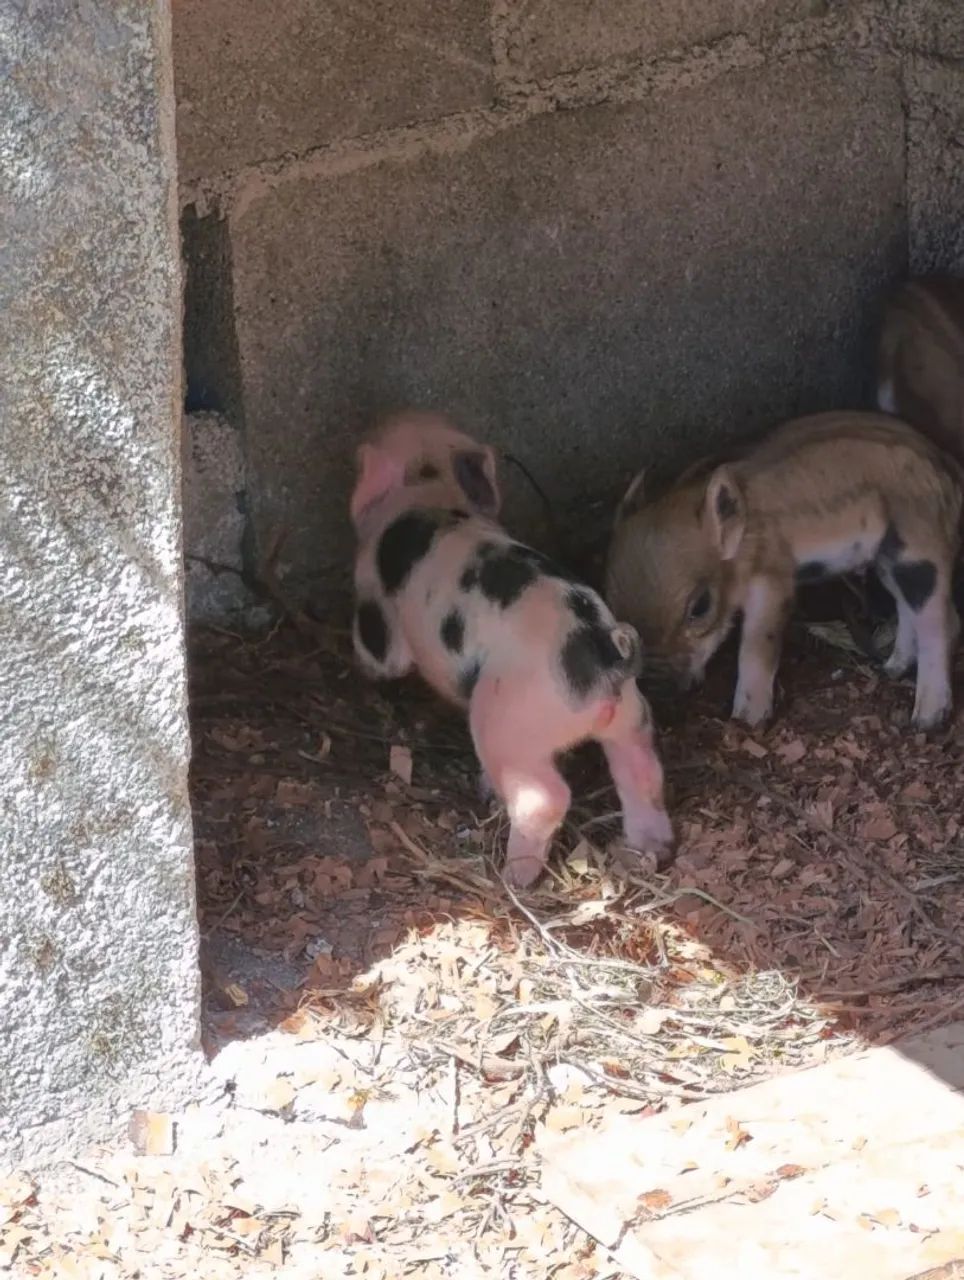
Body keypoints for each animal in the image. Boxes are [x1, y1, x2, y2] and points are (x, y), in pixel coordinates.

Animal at [349, 410, 673, 888]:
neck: (432, 491)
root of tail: (603, 654)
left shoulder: (374, 600)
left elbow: (381, 654)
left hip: (506, 723)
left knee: (545, 797)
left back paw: (514, 876)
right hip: (632, 714)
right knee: (643, 769)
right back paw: (650, 849)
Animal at [605, 411, 963, 731]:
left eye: (701, 606)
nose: (652, 687)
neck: (743, 546)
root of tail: (950, 475)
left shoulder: (773, 582)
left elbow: (756, 644)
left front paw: (747, 720)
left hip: (918, 552)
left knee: (941, 621)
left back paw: (926, 720)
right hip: (889, 559)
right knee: (910, 609)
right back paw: (892, 668)